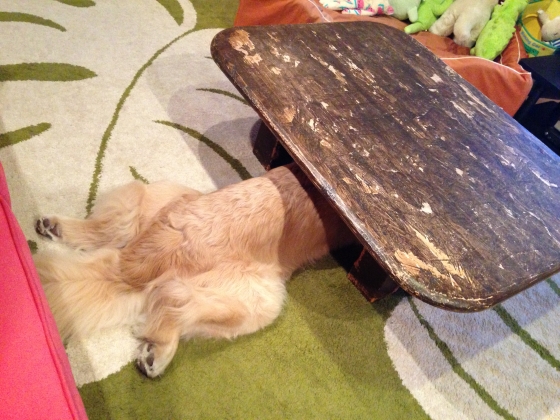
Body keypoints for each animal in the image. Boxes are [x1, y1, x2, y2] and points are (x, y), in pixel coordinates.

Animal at [33, 163, 356, 377]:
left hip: (156, 195)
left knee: (110, 229)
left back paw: (56, 227)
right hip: (262, 298)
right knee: (173, 302)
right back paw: (158, 355)